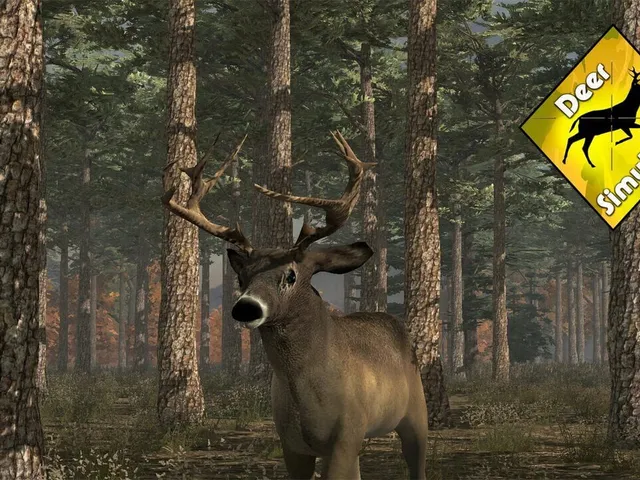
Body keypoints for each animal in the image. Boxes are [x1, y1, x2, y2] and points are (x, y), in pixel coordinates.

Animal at [161, 132, 428, 480]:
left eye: (291, 274)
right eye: (242, 277)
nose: (246, 307)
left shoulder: (346, 433)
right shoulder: (291, 443)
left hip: (416, 412)